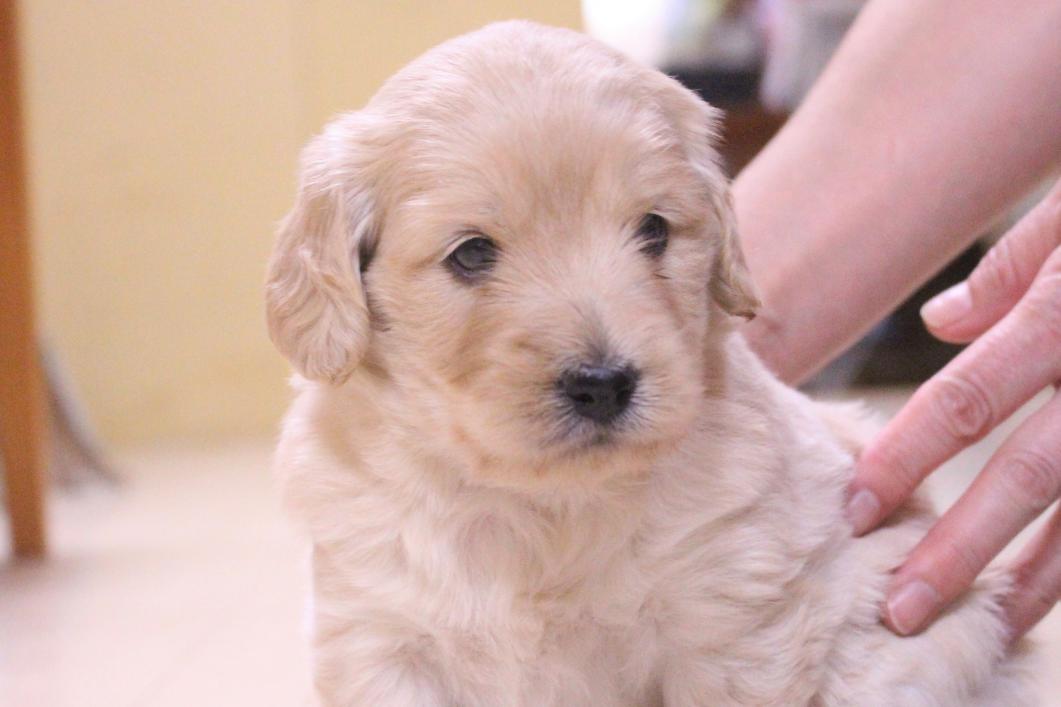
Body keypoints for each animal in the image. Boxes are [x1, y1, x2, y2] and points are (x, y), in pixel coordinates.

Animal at [266, 21, 1034, 706]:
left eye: (653, 230)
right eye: (472, 253)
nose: (604, 385)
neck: (536, 511)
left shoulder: (730, 622)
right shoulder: (380, 638)